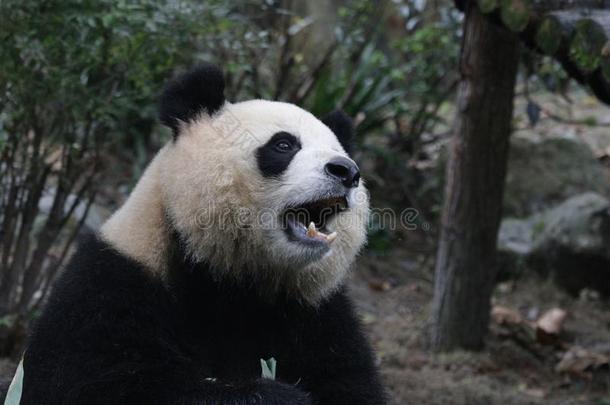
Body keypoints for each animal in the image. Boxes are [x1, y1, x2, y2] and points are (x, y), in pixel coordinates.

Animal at [23, 64, 388, 402]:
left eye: (340, 151)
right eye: (284, 144)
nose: (346, 171)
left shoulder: (316, 312)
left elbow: (350, 381)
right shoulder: (114, 282)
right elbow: (99, 382)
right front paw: (275, 395)